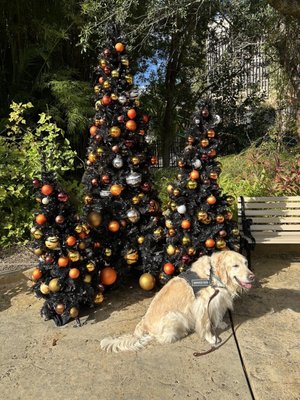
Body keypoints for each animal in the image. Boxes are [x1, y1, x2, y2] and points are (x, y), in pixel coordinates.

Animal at [100, 252, 253, 352]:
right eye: (235, 265)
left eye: (246, 263)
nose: (252, 276)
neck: (213, 275)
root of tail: (142, 325)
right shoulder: (202, 306)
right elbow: (206, 324)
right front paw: (211, 339)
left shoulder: (216, 302)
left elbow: (216, 316)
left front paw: (219, 323)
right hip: (175, 315)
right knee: (160, 338)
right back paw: (181, 333)